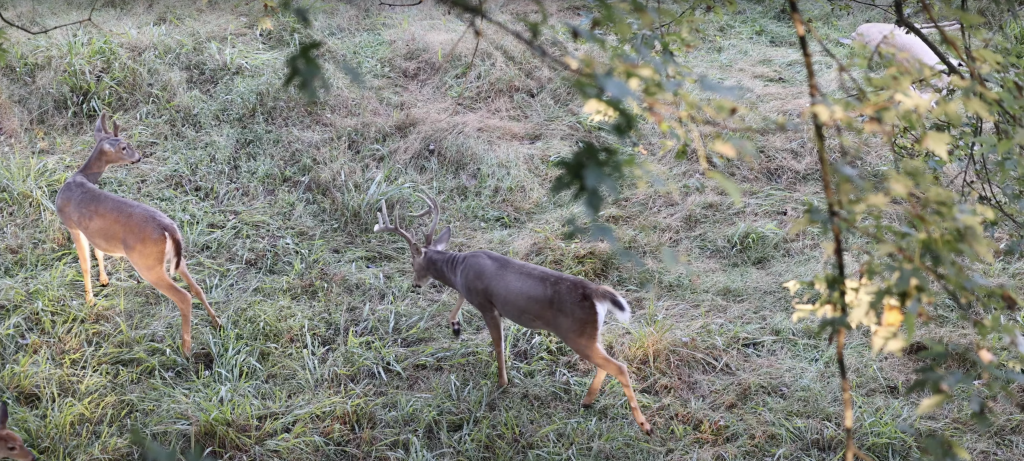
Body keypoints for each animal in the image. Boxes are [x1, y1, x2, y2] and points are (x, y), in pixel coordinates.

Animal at [55, 113, 221, 356]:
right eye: (124, 147)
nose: (139, 156)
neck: (80, 178)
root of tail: (169, 229)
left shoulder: (72, 225)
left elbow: (84, 264)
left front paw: (89, 300)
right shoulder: (89, 232)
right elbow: (98, 253)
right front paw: (104, 280)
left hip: (147, 264)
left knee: (184, 297)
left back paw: (186, 350)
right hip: (175, 259)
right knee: (196, 287)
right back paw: (217, 322)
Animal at [373, 192, 652, 435]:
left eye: (412, 262)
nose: (415, 285)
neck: (458, 268)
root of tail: (596, 292)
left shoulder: (487, 305)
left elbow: (498, 344)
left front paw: (502, 382)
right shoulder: (471, 292)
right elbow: (460, 299)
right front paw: (455, 326)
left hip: (577, 334)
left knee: (619, 366)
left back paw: (644, 425)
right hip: (592, 334)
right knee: (605, 364)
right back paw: (587, 401)